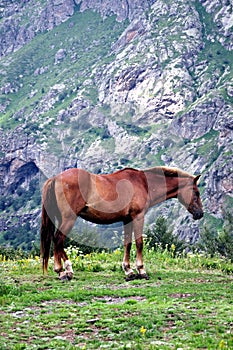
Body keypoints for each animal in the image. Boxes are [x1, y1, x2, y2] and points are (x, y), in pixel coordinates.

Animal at [40, 165, 204, 280]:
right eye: (196, 192)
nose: (200, 214)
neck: (143, 183)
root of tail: (55, 178)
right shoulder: (138, 217)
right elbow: (139, 243)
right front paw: (141, 270)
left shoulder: (127, 219)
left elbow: (128, 243)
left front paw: (128, 270)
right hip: (69, 218)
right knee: (58, 239)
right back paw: (62, 272)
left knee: (57, 241)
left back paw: (67, 270)